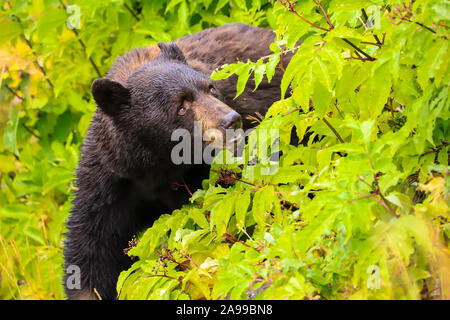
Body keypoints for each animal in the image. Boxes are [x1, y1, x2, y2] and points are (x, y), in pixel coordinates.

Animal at [61, 23, 290, 300]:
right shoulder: (110, 182)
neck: (158, 166)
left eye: (210, 87)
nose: (231, 120)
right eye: (181, 105)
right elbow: (90, 248)